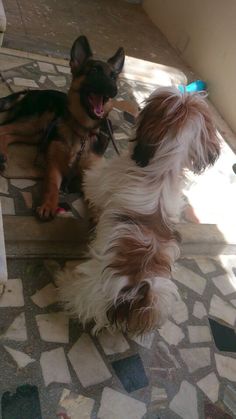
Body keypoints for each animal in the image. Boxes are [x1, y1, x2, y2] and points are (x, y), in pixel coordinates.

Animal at [0, 35, 125, 220]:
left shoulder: (91, 173)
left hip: (38, 134)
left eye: (113, 77)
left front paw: (98, 216)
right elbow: (52, 186)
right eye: (94, 71)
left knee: (9, 134)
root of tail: (29, 91)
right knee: (4, 129)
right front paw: (48, 205)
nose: (113, 89)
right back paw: (2, 154)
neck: (82, 132)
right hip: (34, 124)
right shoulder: (54, 166)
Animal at [56, 87, 219, 336]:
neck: (163, 171)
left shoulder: (102, 179)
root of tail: (134, 296)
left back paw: (63, 279)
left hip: (90, 288)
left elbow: (92, 184)